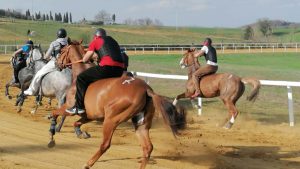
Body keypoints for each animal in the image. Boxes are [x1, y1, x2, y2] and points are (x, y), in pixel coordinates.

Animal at [48, 41, 185, 169]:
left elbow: (55, 113)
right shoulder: (90, 116)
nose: (56, 64)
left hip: (111, 120)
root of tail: (146, 89)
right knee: (148, 147)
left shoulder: (68, 107)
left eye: (62, 50)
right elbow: (76, 123)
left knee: (105, 144)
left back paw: (88, 163)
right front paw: (82, 134)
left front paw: (51, 136)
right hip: (141, 123)